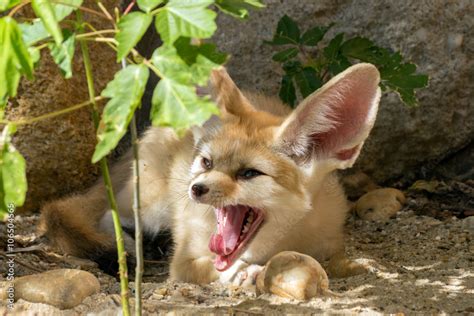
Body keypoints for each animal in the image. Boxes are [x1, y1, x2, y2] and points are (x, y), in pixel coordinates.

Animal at [39, 63, 382, 286]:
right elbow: (212, 269)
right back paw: (131, 245)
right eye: (206, 162)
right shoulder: (183, 261)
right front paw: (243, 274)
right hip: (150, 205)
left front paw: (357, 265)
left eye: (249, 173)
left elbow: (335, 259)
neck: (274, 246)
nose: (196, 189)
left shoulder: (329, 241)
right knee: (105, 216)